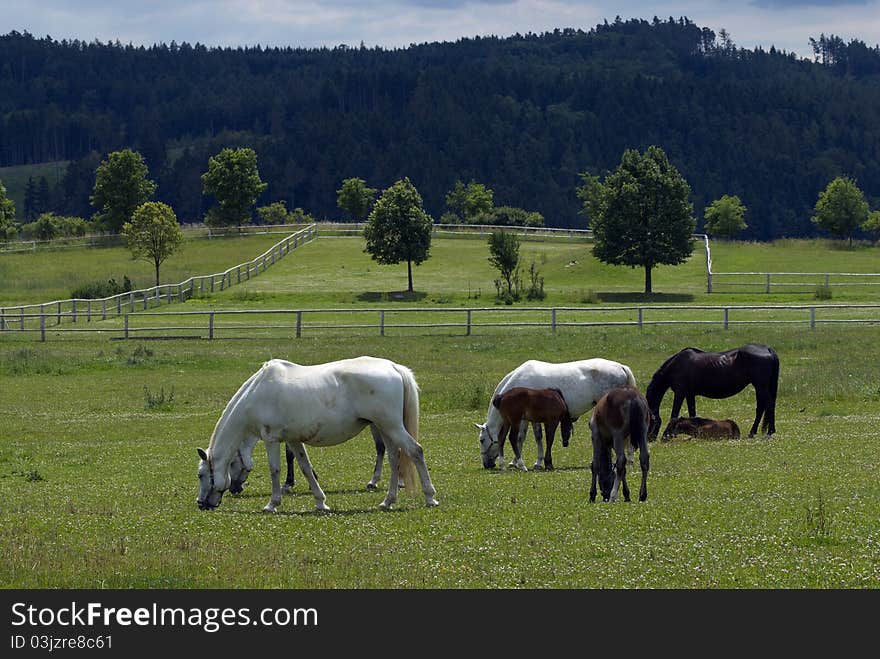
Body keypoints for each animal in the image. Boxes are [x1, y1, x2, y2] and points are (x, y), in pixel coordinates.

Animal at [196, 358, 436, 512]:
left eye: (200, 475)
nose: (201, 504)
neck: (256, 393)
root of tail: (394, 367)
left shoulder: (271, 439)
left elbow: (275, 470)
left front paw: (272, 504)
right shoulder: (293, 440)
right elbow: (305, 468)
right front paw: (321, 502)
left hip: (391, 426)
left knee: (415, 451)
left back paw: (430, 497)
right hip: (385, 428)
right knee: (395, 458)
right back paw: (388, 501)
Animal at [478, 358, 636, 472]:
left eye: (482, 440)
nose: (487, 465)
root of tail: (621, 367)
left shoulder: (524, 419)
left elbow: (522, 438)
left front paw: (519, 462)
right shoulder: (532, 419)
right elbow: (534, 437)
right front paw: (533, 462)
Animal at [644, 346, 780, 444]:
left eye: (649, 421)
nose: (649, 439)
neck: (676, 365)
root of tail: (768, 350)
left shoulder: (680, 393)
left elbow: (674, 414)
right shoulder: (690, 394)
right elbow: (692, 413)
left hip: (761, 386)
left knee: (769, 405)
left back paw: (769, 432)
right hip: (760, 387)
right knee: (762, 407)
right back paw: (755, 432)